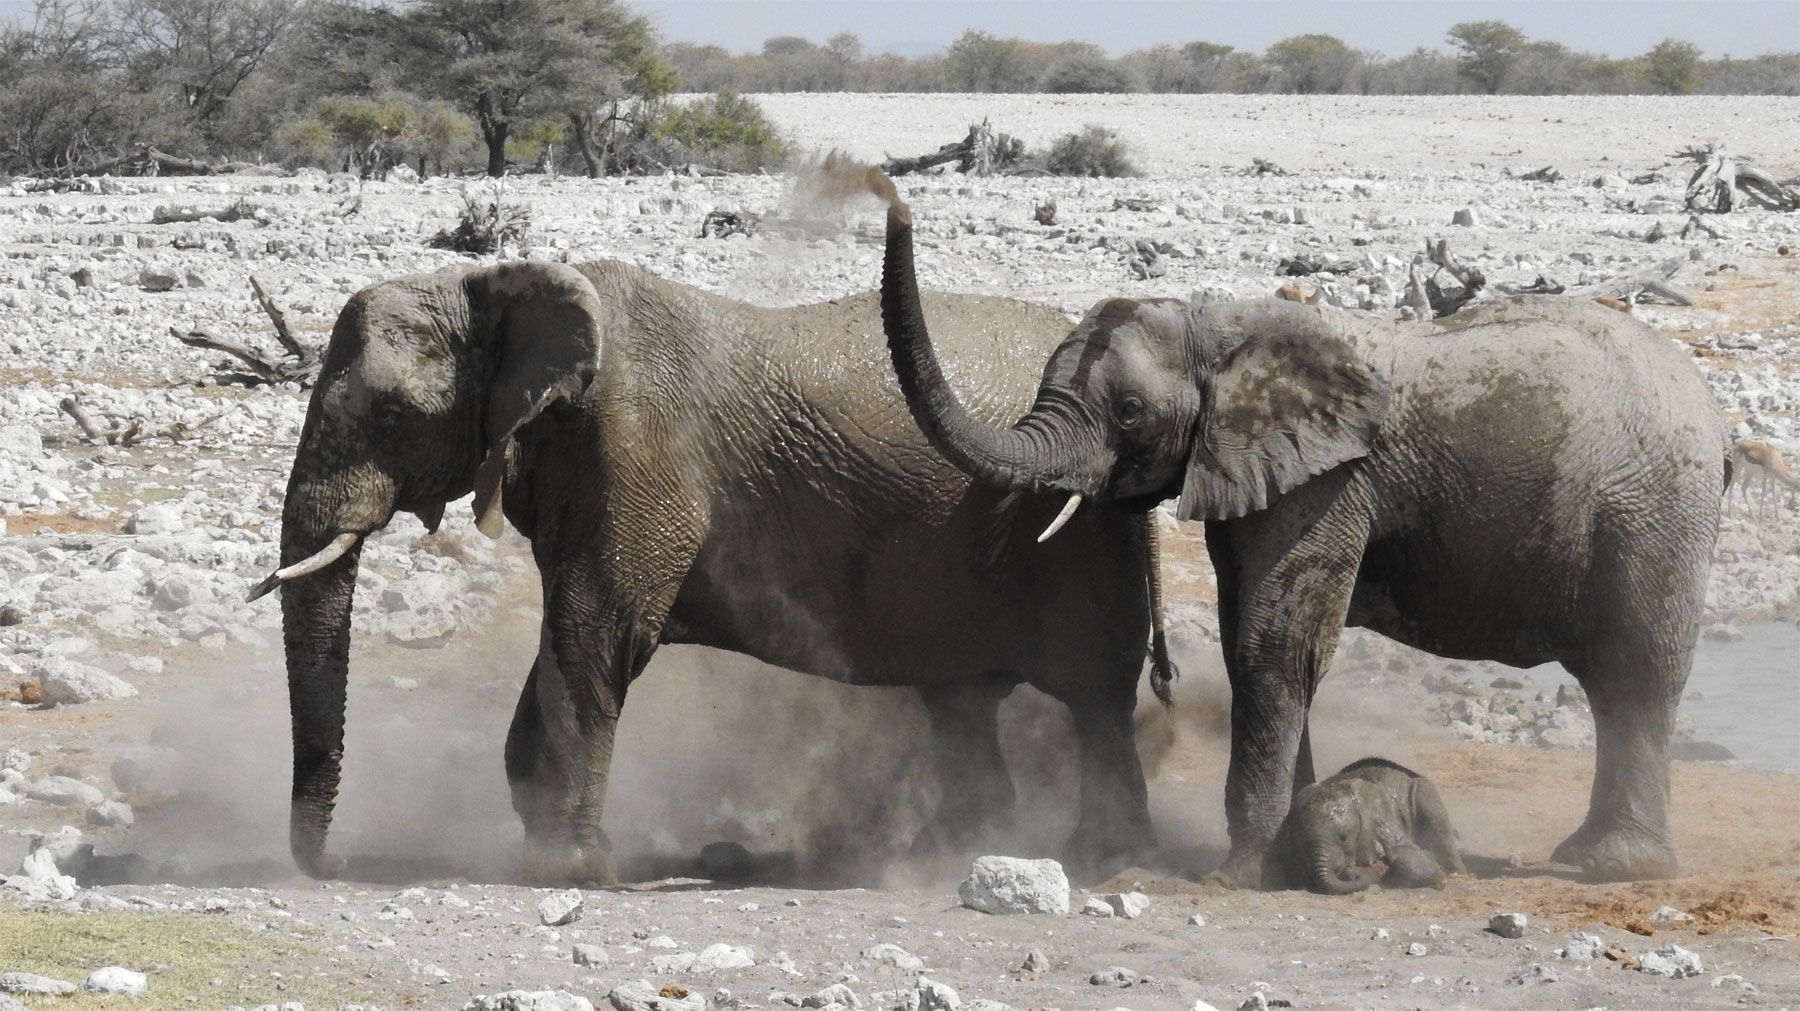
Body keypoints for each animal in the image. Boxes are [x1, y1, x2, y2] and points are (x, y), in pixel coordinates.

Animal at [257, 255, 1180, 877]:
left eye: (390, 416)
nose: (334, 866)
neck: (500, 285)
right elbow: (564, 642)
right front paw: (547, 847)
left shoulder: (637, 457)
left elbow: (596, 631)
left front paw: (575, 869)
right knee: (960, 701)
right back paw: (946, 851)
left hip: (1081, 544)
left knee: (1096, 699)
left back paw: (1105, 856)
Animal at [1260, 755, 1468, 888]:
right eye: (1300, 841)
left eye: (1344, 838)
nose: (1348, 871)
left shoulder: (1383, 818)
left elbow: (1413, 859)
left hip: (1426, 795)